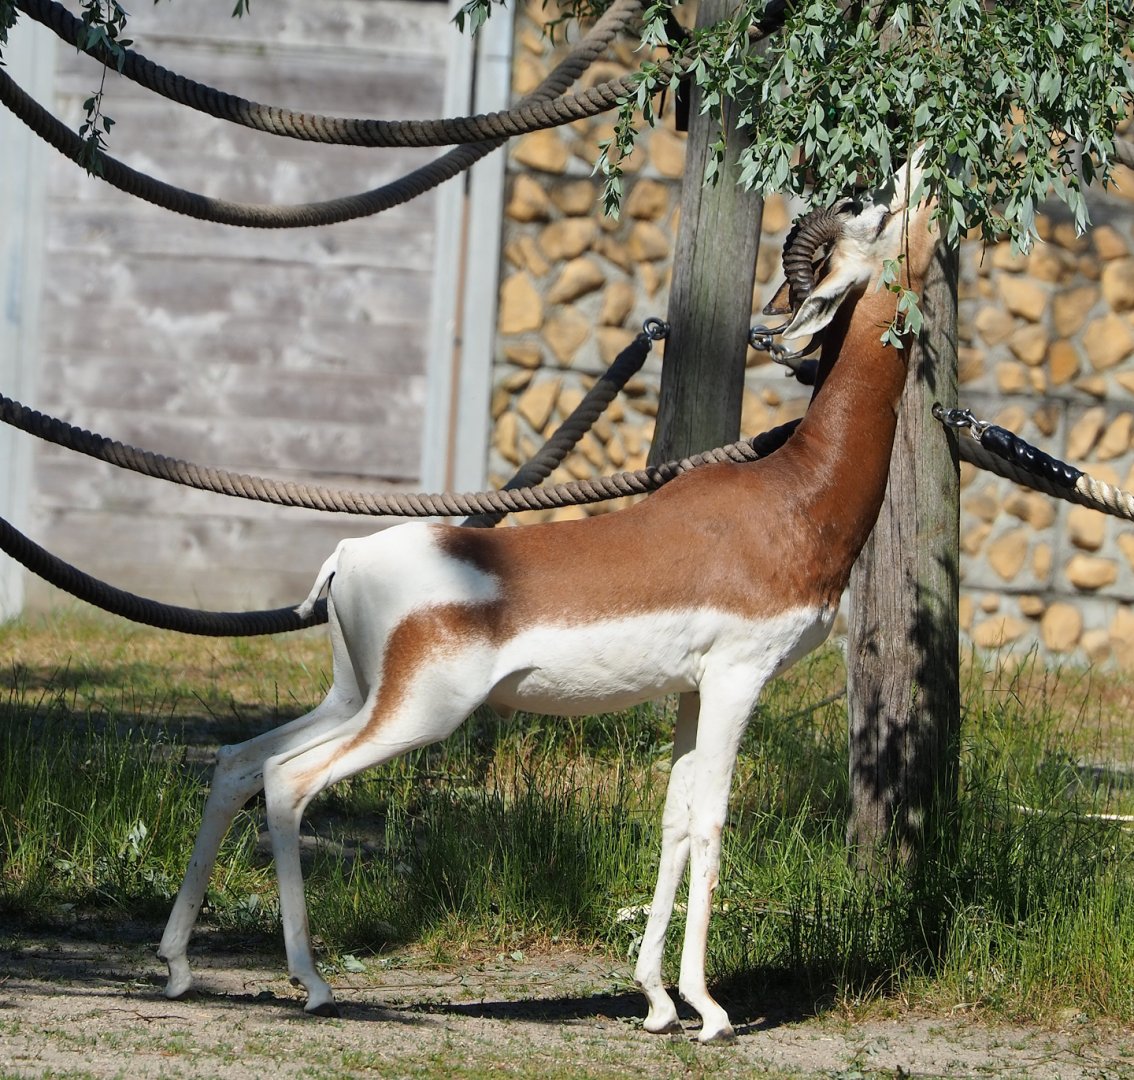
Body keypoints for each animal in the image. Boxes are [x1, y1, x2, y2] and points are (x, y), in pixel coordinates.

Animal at [157, 156, 939, 1044]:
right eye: (877, 213)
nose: (920, 165)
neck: (795, 494)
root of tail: (350, 554)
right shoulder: (739, 679)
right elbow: (710, 823)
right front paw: (708, 1010)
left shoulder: (691, 692)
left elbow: (672, 822)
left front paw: (657, 1001)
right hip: (417, 715)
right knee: (289, 781)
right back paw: (312, 983)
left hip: (354, 696)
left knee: (237, 762)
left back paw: (179, 965)